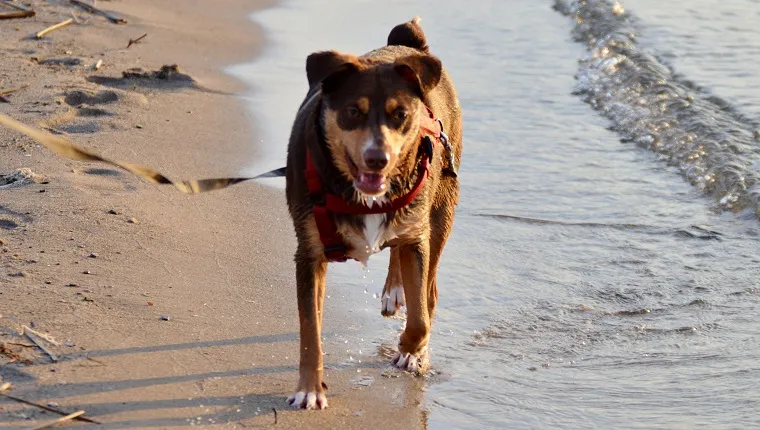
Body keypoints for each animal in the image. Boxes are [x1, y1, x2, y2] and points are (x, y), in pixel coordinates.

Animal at [286, 17, 460, 410]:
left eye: (401, 115)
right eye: (353, 111)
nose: (377, 159)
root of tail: (411, 44)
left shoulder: (417, 236)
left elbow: (420, 318)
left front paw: (411, 351)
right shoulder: (309, 254)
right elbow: (310, 331)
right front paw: (309, 389)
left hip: (441, 208)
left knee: (428, 291)